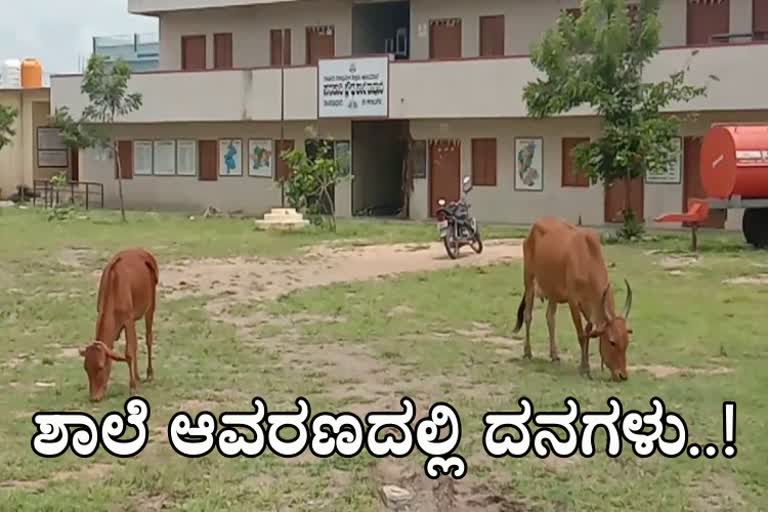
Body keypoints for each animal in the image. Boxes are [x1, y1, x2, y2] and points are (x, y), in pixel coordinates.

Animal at [79, 247, 159, 400]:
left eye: (100, 367)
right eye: (86, 368)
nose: (94, 398)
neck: (114, 286)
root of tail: (143, 252)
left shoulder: (128, 319)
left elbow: (129, 352)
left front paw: (132, 386)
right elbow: (132, 348)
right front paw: (135, 381)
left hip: (150, 305)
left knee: (148, 338)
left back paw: (150, 374)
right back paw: (138, 376)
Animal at [512, 216, 632, 380]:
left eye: (626, 343)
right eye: (612, 342)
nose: (622, 376)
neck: (587, 259)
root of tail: (534, 227)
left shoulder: (590, 307)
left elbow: (588, 332)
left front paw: (586, 365)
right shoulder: (573, 302)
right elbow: (581, 335)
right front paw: (584, 368)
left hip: (553, 291)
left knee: (550, 318)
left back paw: (554, 355)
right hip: (529, 280)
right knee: (528, 316)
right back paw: (528, 353)